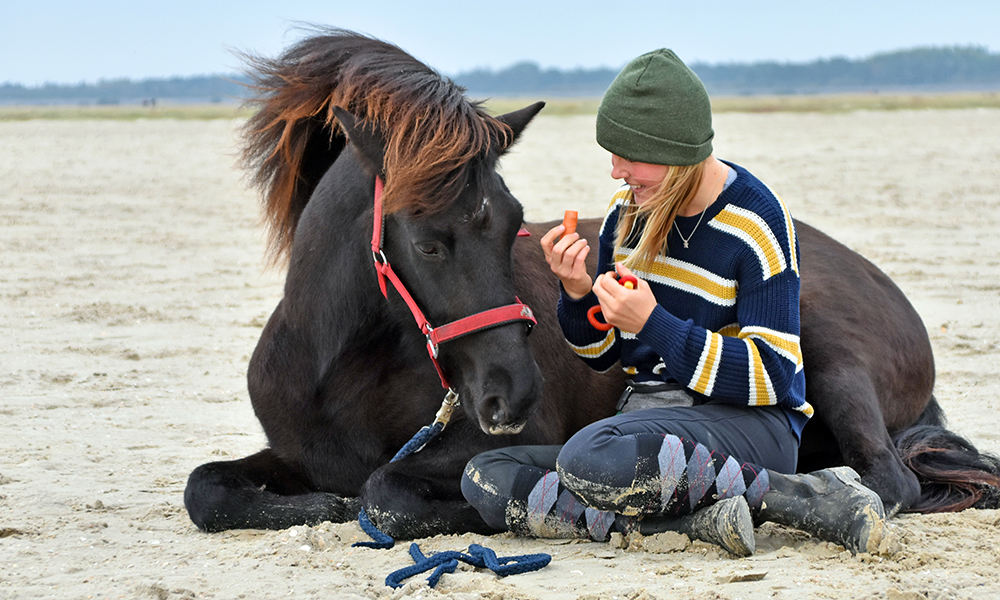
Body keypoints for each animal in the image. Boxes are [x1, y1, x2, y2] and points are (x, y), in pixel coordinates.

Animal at [184, 28, 996, 536]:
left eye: (512, 220)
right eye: (426, 240)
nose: (512, 396)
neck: (339, 366)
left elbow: (383, 491)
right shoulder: (295, 453)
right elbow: (206, 490)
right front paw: (314, 503)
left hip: (829, 363)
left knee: (886, 481)